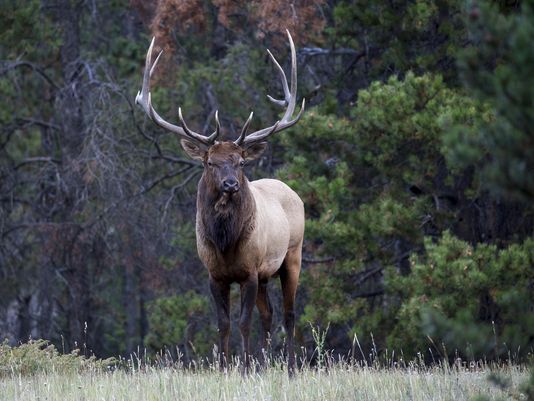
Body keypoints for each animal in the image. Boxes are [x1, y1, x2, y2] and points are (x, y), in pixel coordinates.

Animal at [136, 31, 306, 376]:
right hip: (267, 273)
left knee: (289, 314)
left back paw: (291, 368)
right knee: (269, 314)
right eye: (210, 162)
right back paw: (267, 364)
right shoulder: (215, 274)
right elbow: (223, 324)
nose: (230, 184)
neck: (225, 242)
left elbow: (243, 323)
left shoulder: (250, 270)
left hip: (292, 256)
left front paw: (245, 368)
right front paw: (228, 367)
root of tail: (290, 190)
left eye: (240, 162)